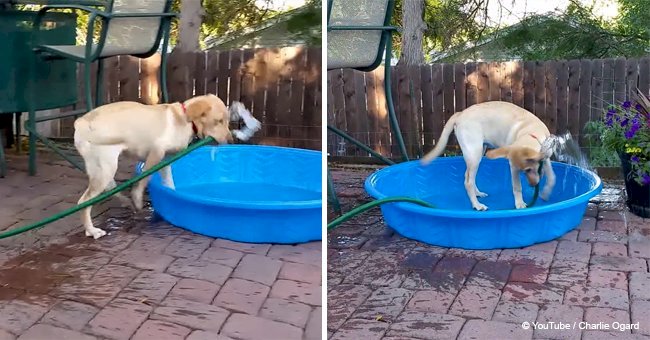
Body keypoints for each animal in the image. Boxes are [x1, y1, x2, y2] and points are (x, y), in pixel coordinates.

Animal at [76, 93, 258, 239]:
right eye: (218, 121)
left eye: (227, 121)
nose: (231, 141)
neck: (184, 119)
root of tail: (81, 122)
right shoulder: (157, 151)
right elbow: (144, 178)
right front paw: (137, 197)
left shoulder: (166, 160)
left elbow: (169, 184)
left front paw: (173, 197)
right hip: (105, 167)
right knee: (84, 202)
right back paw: (92, 230)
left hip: (101, 167)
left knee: (108, 188)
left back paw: (123, 202)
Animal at [422, 101, 556, 211]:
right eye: (526, 170)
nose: (532, 185)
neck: (530, 132)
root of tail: (460, 114)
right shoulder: (513, 167)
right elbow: (517, 187)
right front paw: (520, 204)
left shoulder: (546, 158)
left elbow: (552, 177)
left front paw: (545, 193)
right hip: (474, 153)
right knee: (468, 182)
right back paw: (477, 205)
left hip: (478, 152)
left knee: (468, 176)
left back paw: (478, 194)